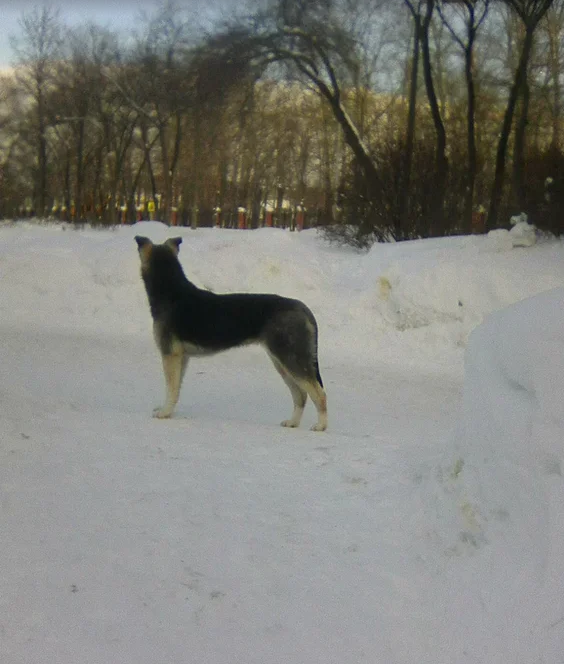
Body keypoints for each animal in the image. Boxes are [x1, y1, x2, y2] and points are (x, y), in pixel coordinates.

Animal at [135, 236, 328, 434]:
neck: (170, 292)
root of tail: (304, 310)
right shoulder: (182, 357)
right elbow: (176, 389)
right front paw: (169, 410)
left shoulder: (170, 355)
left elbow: (171, 387)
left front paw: (164, 413)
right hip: (282, 363)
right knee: (301, 395)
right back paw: (292, 422)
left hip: (291, 360)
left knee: (319, 394)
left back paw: (321, 426)